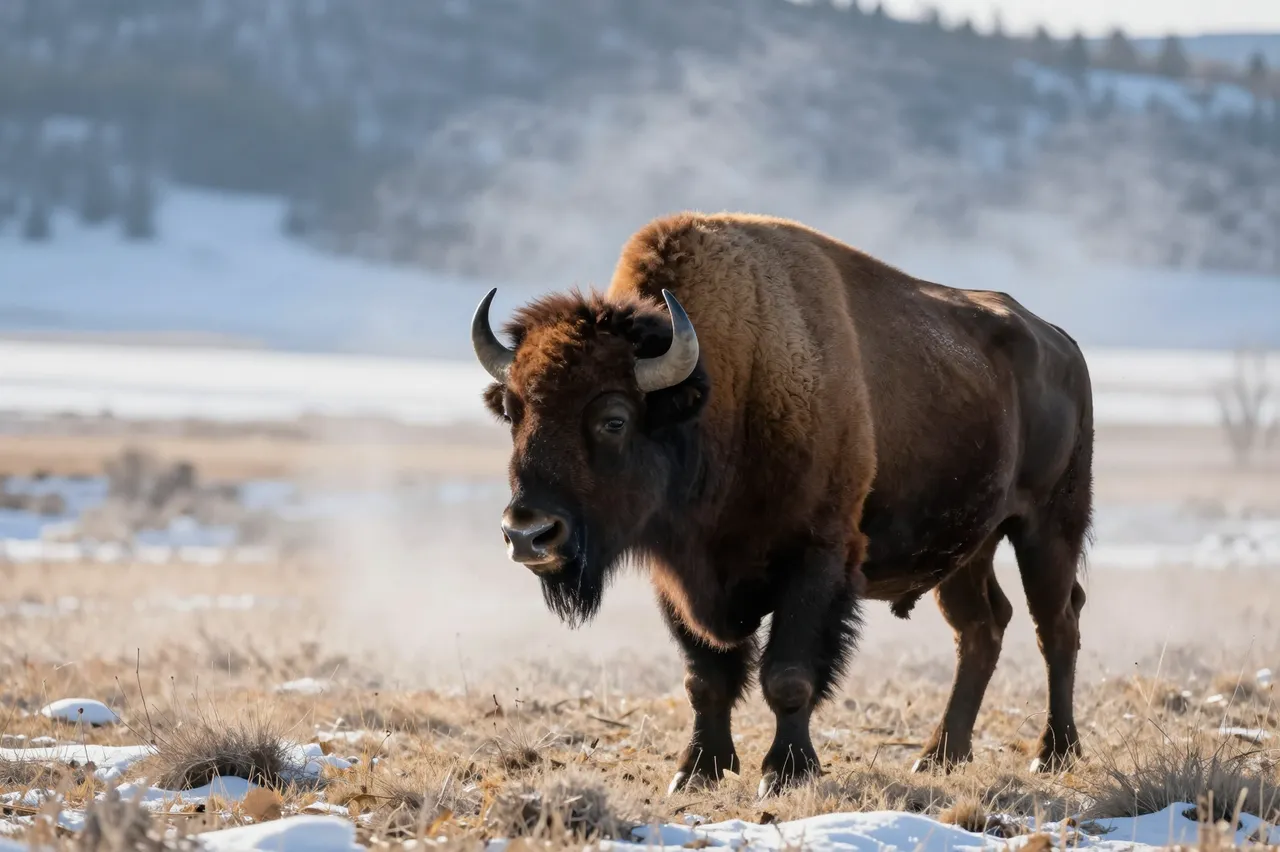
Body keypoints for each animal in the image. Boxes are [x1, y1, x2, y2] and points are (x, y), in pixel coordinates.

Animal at [471, 212, 1093, 797]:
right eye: (513, 411)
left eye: (614, 419)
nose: (528, 533)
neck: (724, 389)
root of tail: (1062, 343)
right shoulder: (677, 577)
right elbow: (705, 678)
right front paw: (696, 771)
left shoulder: (816, 560)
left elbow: (788, 676)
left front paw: (785, 773)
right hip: (967, 549)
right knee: (982, 628)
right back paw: (940, 756)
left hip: (1047, 527)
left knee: (1055, 625)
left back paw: (1053, 754)